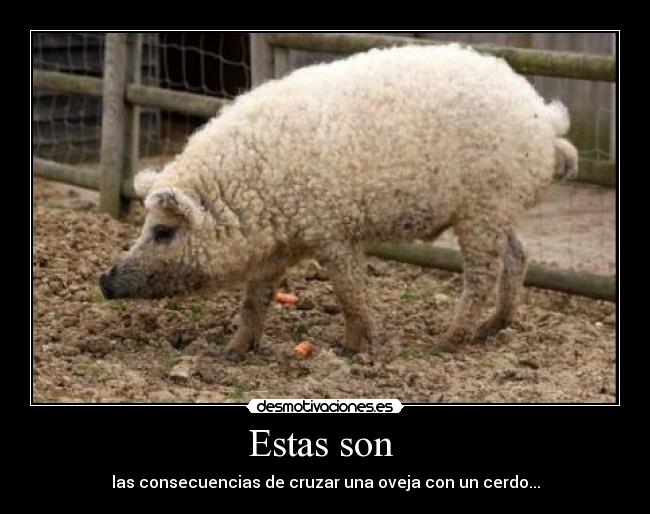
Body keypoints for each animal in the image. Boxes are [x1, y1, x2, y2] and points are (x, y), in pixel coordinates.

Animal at [99, 43, 578, 361]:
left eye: (163, 231)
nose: (105, 280)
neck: (255, 191)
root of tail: (545, 117)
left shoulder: (334, 231)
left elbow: (349, 291)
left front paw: (349, 350)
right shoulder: (277, 250)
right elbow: (255, 300)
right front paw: (231, 353)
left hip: (484, 208)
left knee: (482, 274)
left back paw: (444, 343)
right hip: (500, 209)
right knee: (519, 255)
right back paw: (490, 330)